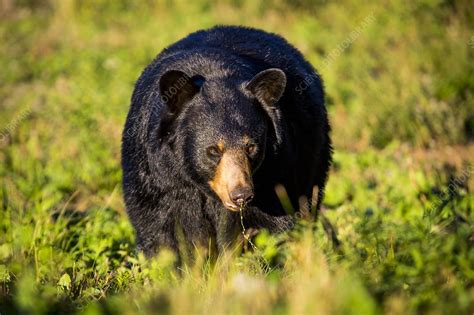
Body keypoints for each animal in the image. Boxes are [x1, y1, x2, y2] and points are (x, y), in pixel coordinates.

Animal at [120, 24, 332, 256]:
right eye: (213, 150)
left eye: (251, 147)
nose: (241, 195)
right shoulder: (161, 181)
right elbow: (165, 230)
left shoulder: (276, 170)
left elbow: (271, 221)